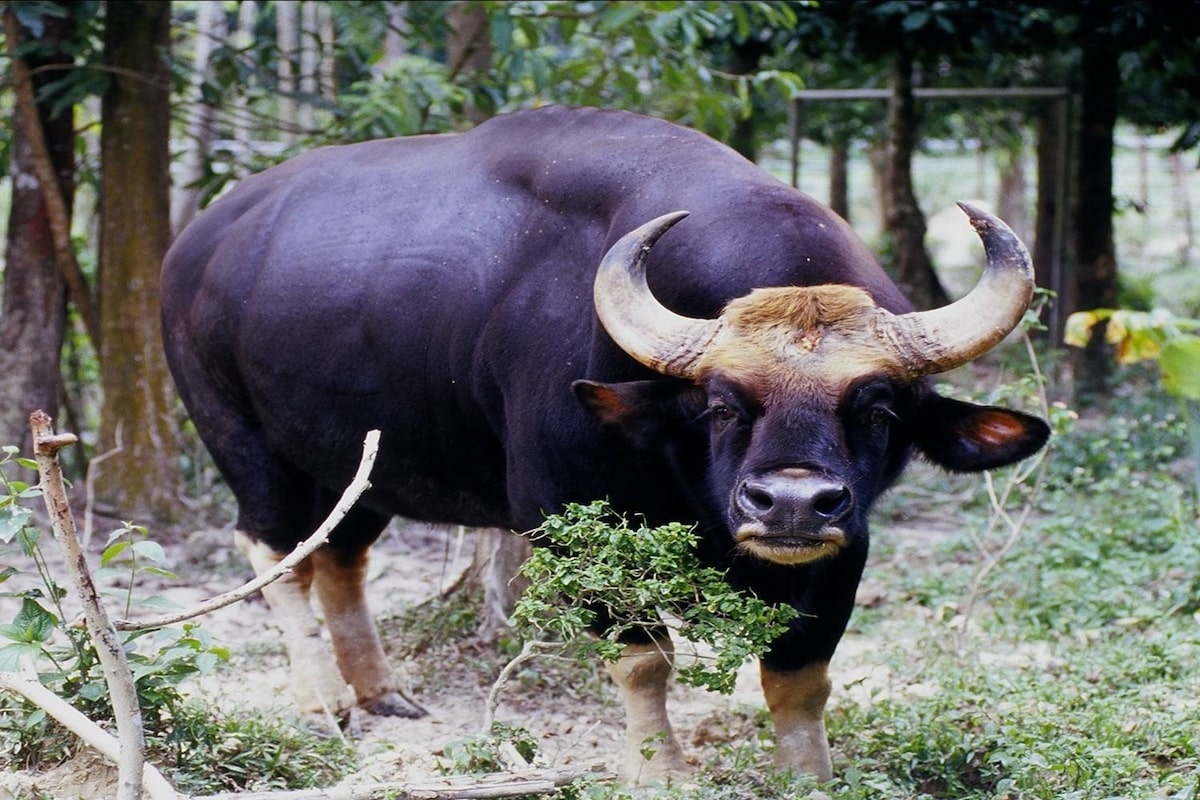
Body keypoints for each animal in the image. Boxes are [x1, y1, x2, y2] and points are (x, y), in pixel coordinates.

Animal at [162, 106, 1051, 782]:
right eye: (720, 405)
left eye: (877, 408)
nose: (791, 503)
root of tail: (194, 247)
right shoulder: (567, 518)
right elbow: (645, 658)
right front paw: (661, 772)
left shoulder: (844, 544)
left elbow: (800, 674)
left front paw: (809, 780)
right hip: (244, 442)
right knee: (276, 551)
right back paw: (323, 703)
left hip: (363, 461)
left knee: (342, 555)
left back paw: (380, 691)